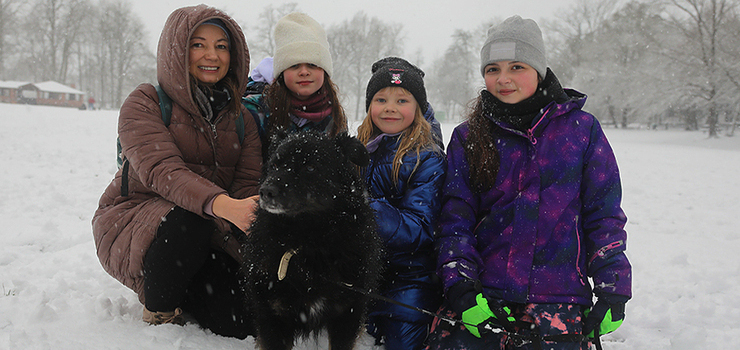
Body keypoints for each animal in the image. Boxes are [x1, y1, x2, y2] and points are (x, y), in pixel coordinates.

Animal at [244, 131, 382, 350]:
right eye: (274, 165)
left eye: (309, 167)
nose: (266, 191)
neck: (309, 242)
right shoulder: (272, 315)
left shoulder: (347, 313)